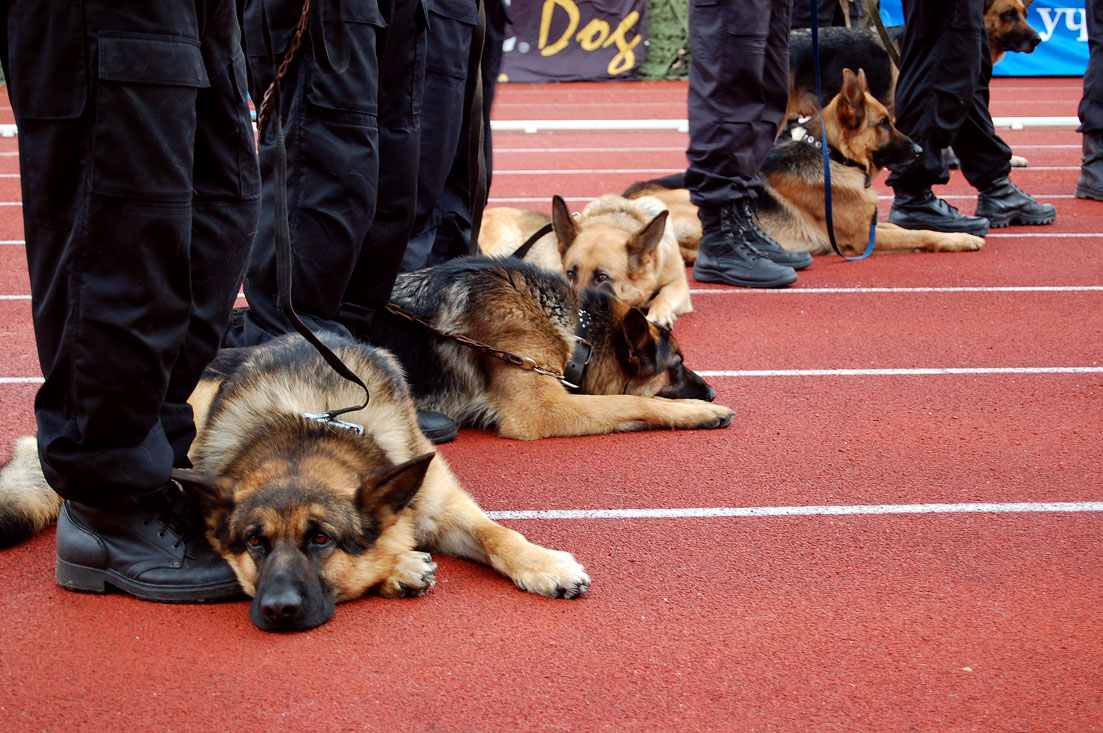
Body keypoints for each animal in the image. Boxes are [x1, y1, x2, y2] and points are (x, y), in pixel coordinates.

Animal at [0, 335, 595, 630]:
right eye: (254, 543)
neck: (315, 426)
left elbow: (499, 534)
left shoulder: (441, 505)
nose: (279, 611)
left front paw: (543, 564)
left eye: (321, 539)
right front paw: (397, 566)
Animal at [361, 256, 732, 440]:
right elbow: (633, 401)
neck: (578, 335)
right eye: (677, 364)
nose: (713, 392)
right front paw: (700, 411)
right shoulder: (544, 410)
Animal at [626, 66, 988, 260]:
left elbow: (906, 228)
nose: (918, 149)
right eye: (884, 123)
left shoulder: (870, 227)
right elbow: (918, 235)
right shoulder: (858, 240)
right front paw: (959, 240)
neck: (833, 157)